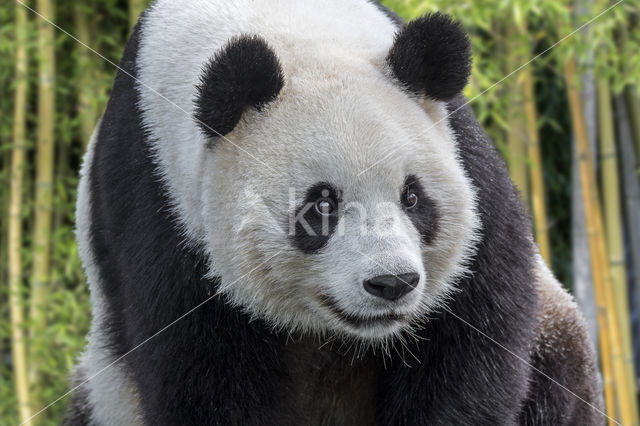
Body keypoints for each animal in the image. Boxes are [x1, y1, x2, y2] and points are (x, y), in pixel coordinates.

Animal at [67, 0, 604, 424]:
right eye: (322, 205)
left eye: (413, 198)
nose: (392, 283)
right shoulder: (160, 207)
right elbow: (202, 376)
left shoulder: (468, 170)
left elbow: (472, 343)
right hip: (105, 389)